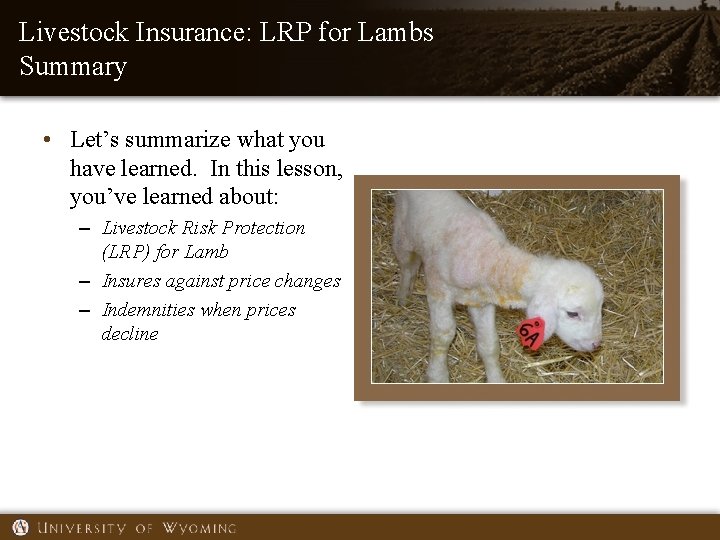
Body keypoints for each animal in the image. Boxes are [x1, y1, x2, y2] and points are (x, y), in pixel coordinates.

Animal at [392, 189, 604, 383]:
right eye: (572, 314)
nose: (596, 344)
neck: (486, 256)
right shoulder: (439, 290)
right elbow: (443, 334)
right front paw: (438, 377)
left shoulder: (481, 302)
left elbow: (489, 344)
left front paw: (496, 379)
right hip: (402, 235)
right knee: (406, 266)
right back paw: (402, 297)